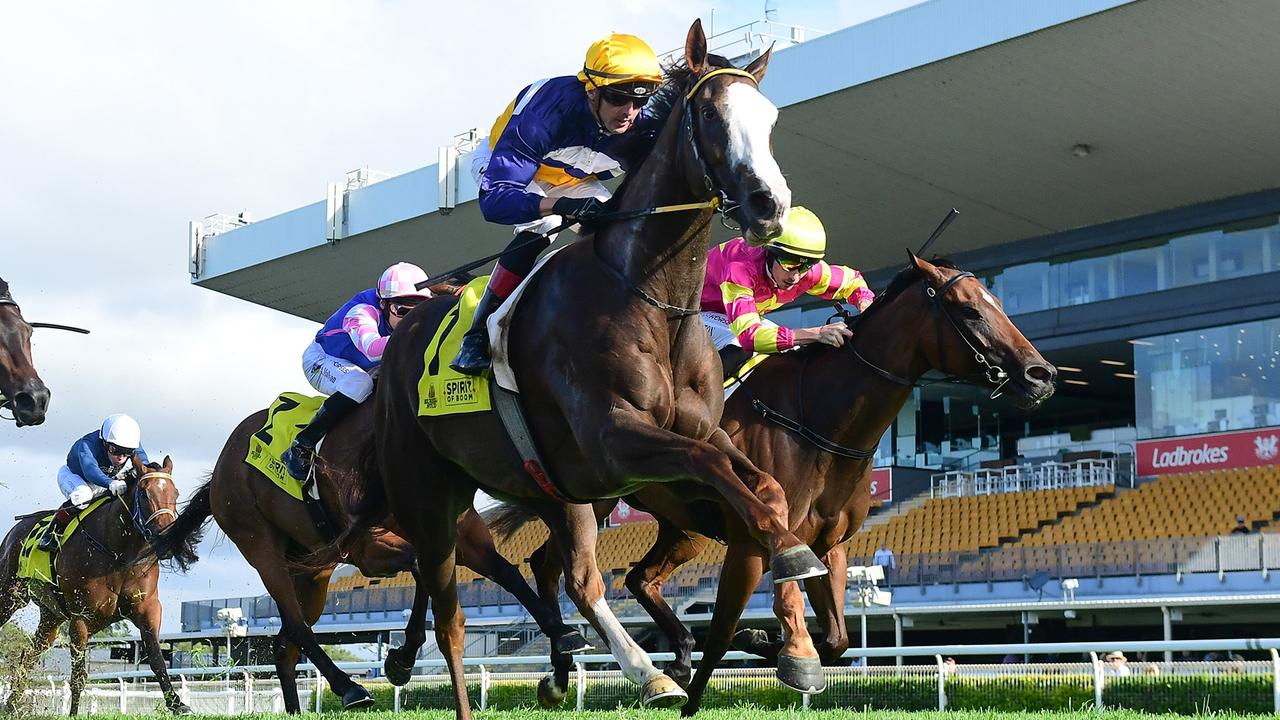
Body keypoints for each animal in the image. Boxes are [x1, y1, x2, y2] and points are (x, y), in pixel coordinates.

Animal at [153, 397, 586, 712]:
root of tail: (221, 465)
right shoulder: (368, 548)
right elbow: (421, 569)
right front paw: (403, 658)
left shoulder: (462, 539)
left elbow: (507, 573)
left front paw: (564, 637)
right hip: (260, 545)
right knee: (297, 625)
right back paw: (348, 688)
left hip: (312, 572)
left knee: (285, 640)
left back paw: (297, 708)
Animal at [355, 19, 829, 712]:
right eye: (712, 116)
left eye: (769, 119)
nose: (770, 204)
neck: (649, 299)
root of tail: (401, 336)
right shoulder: (611, 439)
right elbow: (712, 466)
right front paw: (792, 558)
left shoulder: (692, 431)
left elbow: (759, 484)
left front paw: (790, 581)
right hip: (429, 491)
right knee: (449, 607)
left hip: (553, 488)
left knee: (571, 576)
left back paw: (628, 668)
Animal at [509, 253, 1059, 712]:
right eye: (968, 311)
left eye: (998, 301)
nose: (1042, 374)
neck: (820, 423)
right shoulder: (752, 545)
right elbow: (723, 635)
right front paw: (742, 663)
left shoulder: (827, 545)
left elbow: (835, 639)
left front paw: (768, 645)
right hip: (595, 500)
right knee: (549, 563)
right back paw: (566, 665)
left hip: (681, 527)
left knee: (639, 578)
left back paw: (655, 656)